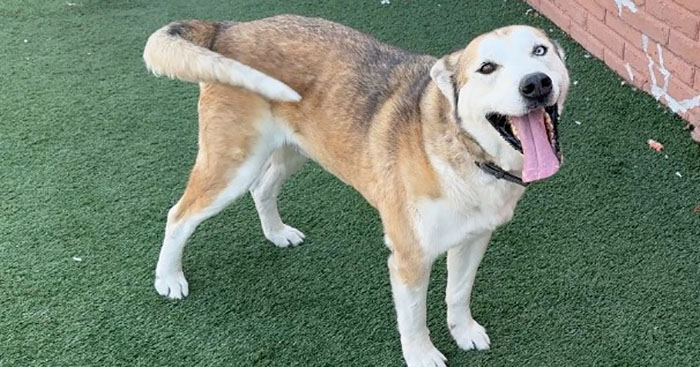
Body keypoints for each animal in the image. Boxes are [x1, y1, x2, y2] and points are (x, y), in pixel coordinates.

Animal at [142, 16, 568, 367]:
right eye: (487, 67)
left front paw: (463, 332)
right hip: (233, 164)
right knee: (178, 215)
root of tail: (229, 28)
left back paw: (276, 233)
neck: (466, 152)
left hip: (294, 150)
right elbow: (413, 319)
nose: (535, 83)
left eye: (540, 51)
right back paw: (169, 278)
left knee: (262, 188)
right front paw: (422, 356)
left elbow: (459, 293)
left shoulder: (475, 237)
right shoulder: (409, 258)